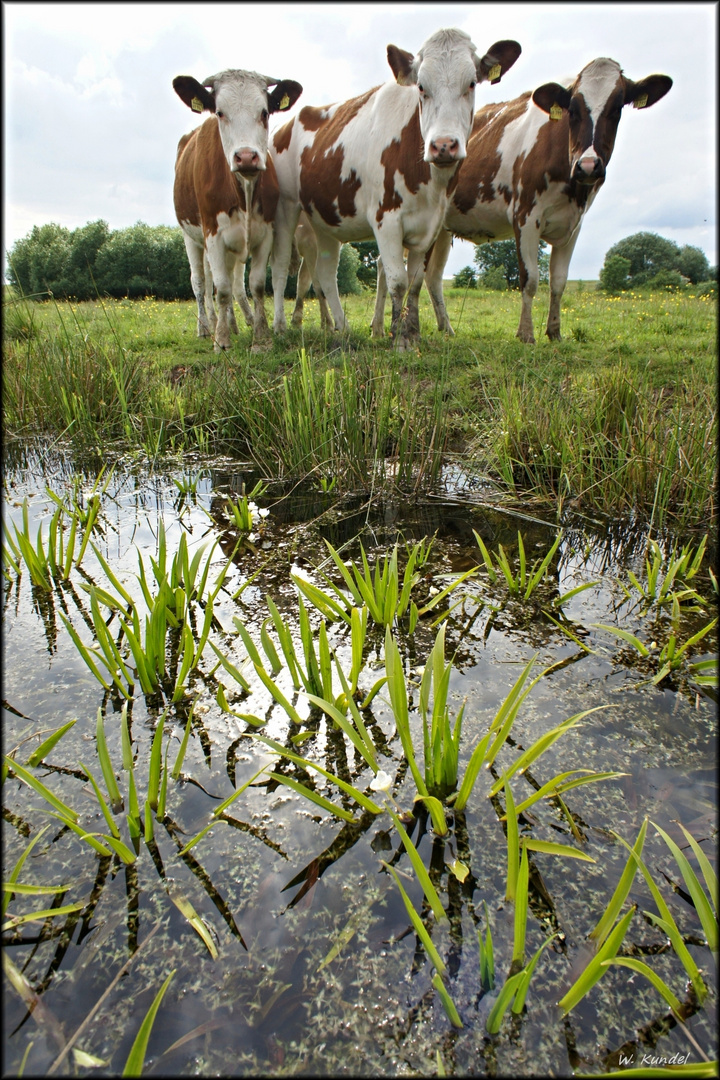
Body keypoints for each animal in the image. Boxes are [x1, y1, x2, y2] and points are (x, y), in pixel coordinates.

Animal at [173, 67, 302, 352]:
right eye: (220, 112)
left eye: (264, 112)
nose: (245, 157)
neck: (243, 189)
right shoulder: (213, 233)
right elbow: (220, 287)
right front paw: (221, 341)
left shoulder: (265, 232)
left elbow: (255, 284)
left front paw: (261, 337)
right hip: (191, 237)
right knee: (201, 282)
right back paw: (206, 327)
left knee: (233, 283)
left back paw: (233, 323)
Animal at [267, 29, 520, 349]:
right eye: (422, 87)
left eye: (472, 83)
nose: (443, 146)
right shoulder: (385, 220)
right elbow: (398, 281)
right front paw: (398, 339)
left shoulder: (430, 226)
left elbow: (415, 282)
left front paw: (413, 334)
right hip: (286, 207)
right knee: (279, 267)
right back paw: (280, 326)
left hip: (325, 219)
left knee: (325, 274)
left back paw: (343, 328)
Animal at [414, 56, 673, 341]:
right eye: (573, 110)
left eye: (617, 108)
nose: (588, 166)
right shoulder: (526, 216)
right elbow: (530, 279)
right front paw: (526, 334)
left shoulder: (574, 224)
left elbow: (559, 280)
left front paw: (555, 332)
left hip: (443, 228)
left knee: (433, 276)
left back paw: (446, 329)